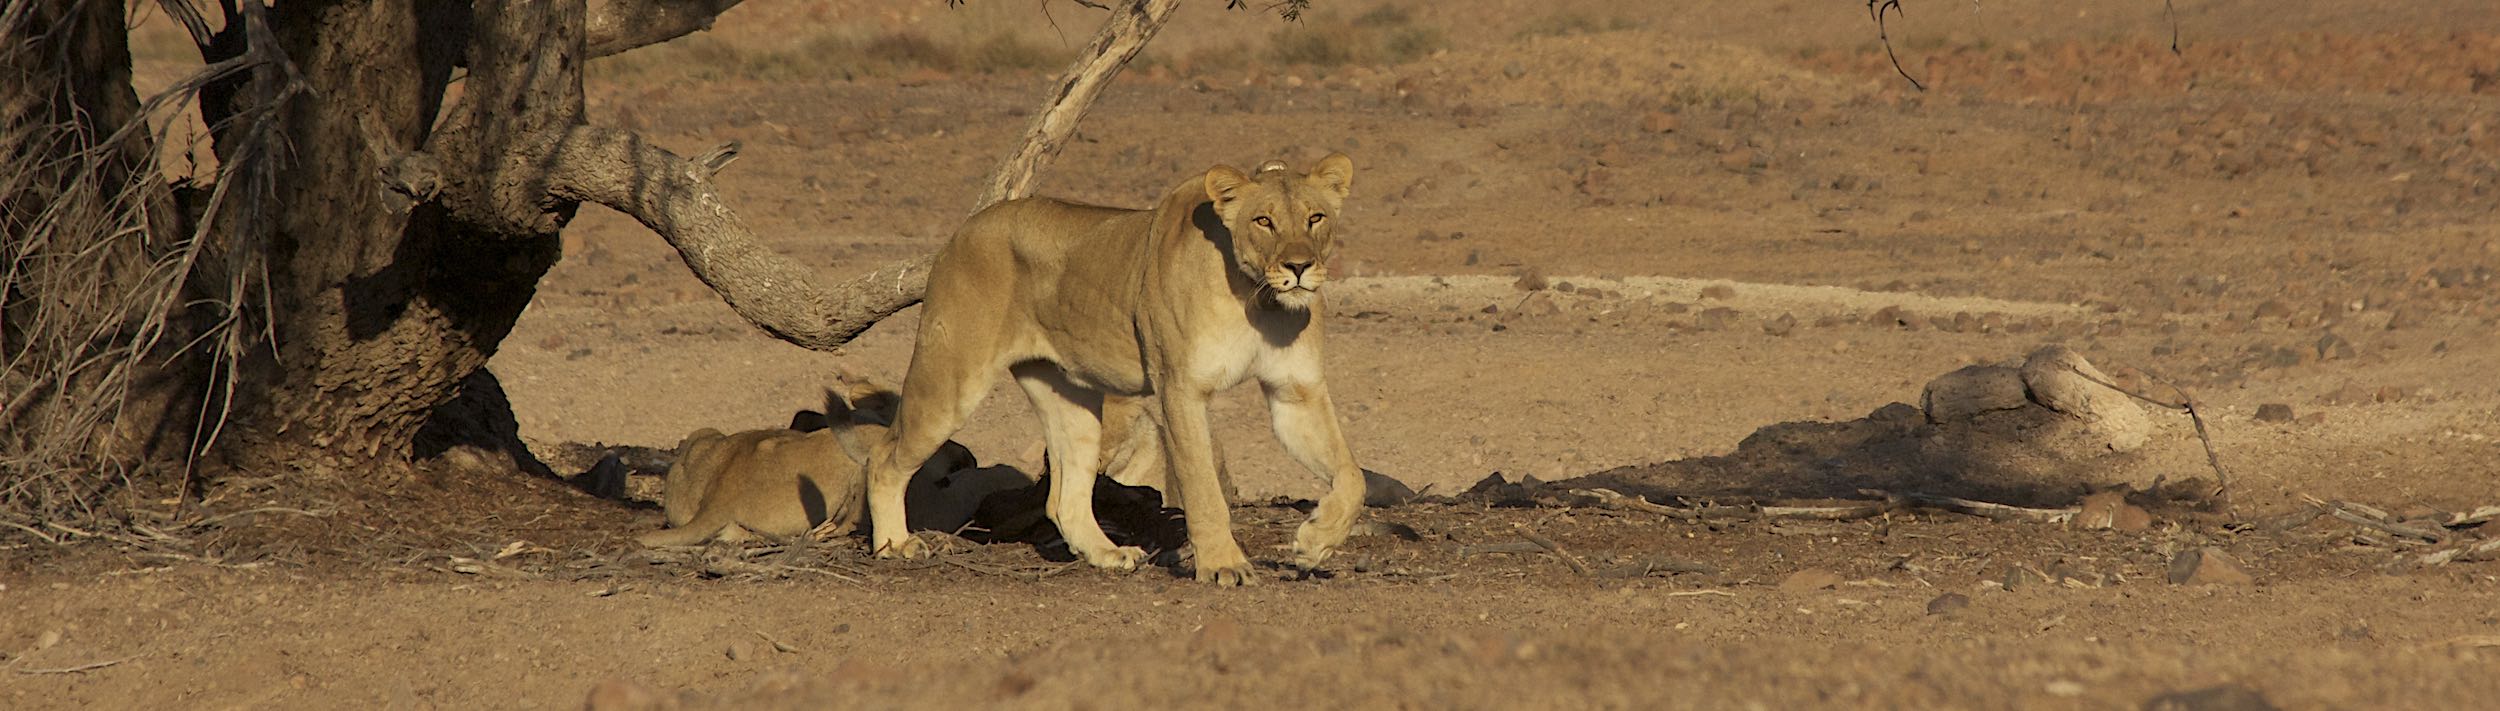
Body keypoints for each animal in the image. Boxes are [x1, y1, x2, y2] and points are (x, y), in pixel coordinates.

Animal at [863, 154, 1369, 585]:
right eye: (1264, 221)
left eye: (1315, 218)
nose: (1299, 266)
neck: (1258, 297)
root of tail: (966, 228)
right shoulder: (1181, 390)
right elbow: (1203, 489)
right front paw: (1224, 566)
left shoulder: (1296, 391)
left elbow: (1352, 476)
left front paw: (1315, 542)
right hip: (951, 378)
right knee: (885, 456)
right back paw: (895, 545)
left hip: (1070, 400)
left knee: (1063, 499)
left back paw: (1108, 554)